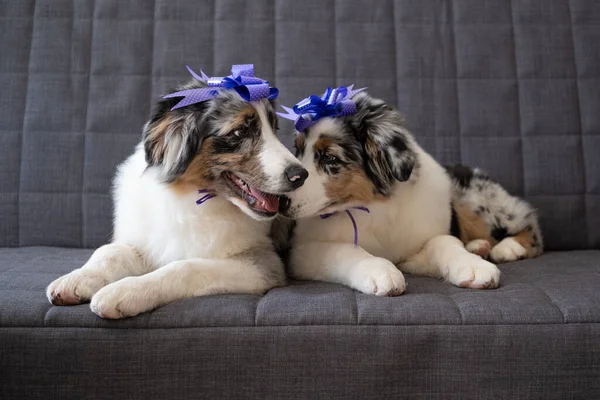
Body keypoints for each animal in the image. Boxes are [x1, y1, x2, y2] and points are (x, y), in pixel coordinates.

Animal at [46, 64, 308, 318]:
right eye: (240, 131)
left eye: (274, 128)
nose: (301, 176)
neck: (189, 196)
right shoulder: (148, 240)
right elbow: (110, 251)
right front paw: (76, 280)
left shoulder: (263, 262)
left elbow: (185, 266)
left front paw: (123, 291)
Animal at [276, 85, 544, 296]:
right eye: (298, 150)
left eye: (330, 158)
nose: (280, 203)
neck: (371, 207)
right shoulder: (300, 252)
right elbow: (343, 249)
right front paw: (380, 270)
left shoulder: (414, 245)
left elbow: (444, 240)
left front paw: (473, 266)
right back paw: (480, 246)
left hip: (474, 197)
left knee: (530, 225)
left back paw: (507, 248)